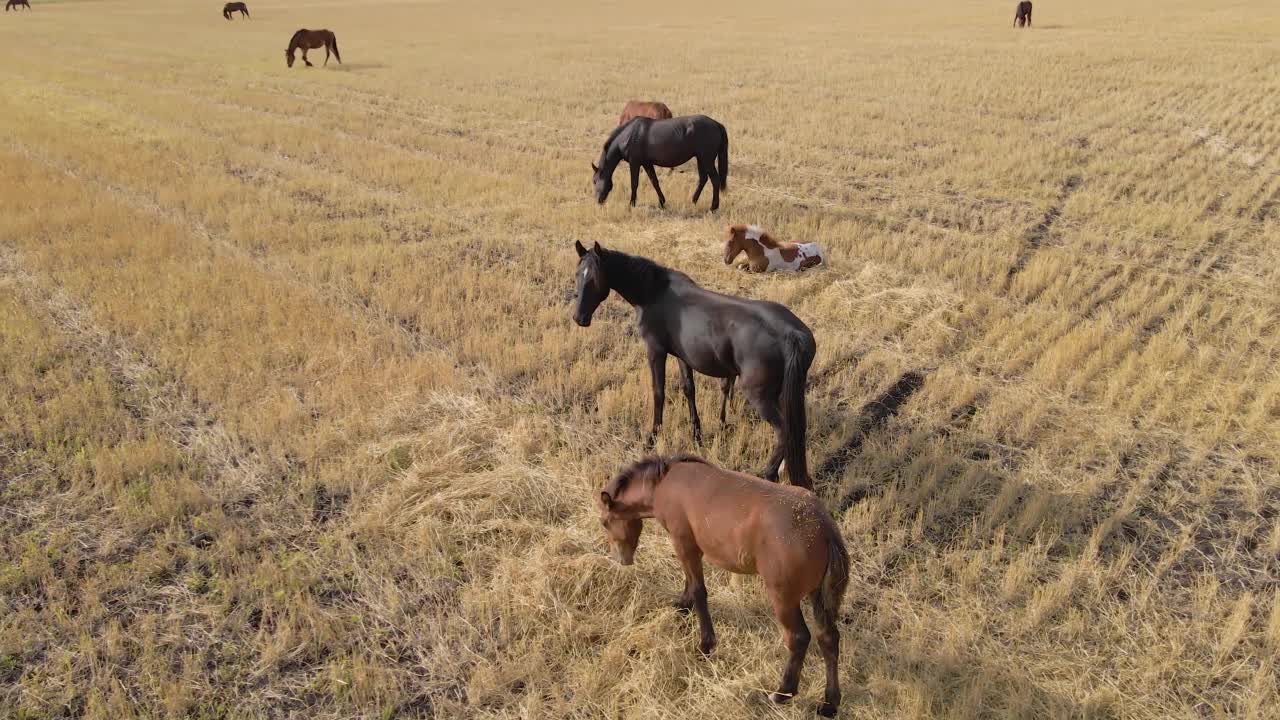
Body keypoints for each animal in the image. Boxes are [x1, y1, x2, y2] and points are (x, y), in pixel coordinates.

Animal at [573, 240, 814, 486]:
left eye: (595, 278)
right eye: (577, 275)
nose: (579, 318)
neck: (653, 292)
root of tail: (793, 334)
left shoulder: (655, 351)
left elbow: (658, 393)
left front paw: (652, 437)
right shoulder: (682, 355)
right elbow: (689, 389)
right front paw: (696, 435)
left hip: (759, 395)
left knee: (784, 431)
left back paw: (769, 474)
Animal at [591, 113, 732, 210]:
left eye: (595, 181)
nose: (598, 201)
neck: (629, 135)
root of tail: (717, 124)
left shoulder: (635, 163)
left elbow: (634, 183)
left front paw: (631, 204)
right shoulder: (647, 163)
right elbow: (655, 182)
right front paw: (662, 202)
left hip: (706, 159)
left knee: (715, 180)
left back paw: (713, 207)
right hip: (700, 159)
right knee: (703, 179)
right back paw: (693, 201)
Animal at [599, 453, 849, 712]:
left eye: (605, 523)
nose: (620, 559)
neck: (664, 483)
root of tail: (823, 527)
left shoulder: (684, 544)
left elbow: (698, 591)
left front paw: (705, 644)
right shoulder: (690, 549)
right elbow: (690, 583)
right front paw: (681, 606)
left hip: (784, 599)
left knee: (799, 639)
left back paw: (782, 693)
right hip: (817, 596)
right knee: (828, 638)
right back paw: (829, 703)